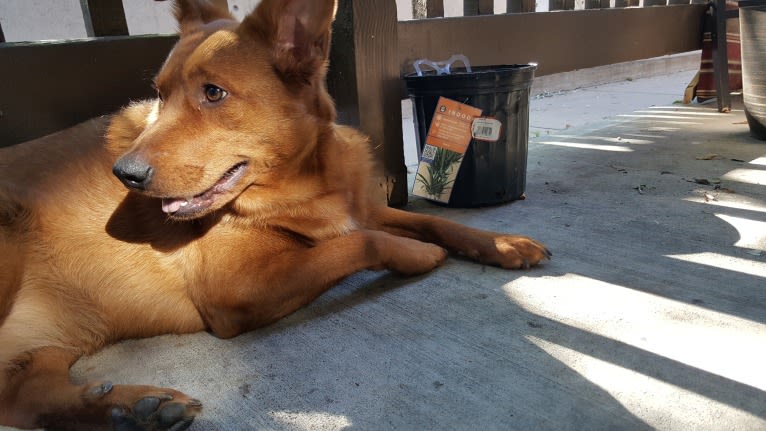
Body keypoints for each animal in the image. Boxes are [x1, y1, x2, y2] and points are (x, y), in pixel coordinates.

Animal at [0, 1, 552, 430]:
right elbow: (357, 243)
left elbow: (429, 220)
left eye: (214, 93)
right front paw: (415, 254)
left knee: (25, 398)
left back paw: (133, 410)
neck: (309, 185)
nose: (124, 174)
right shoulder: (235, 290)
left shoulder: (363, 208)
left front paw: (504, 243)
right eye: (159, 93)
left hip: (49, 342)